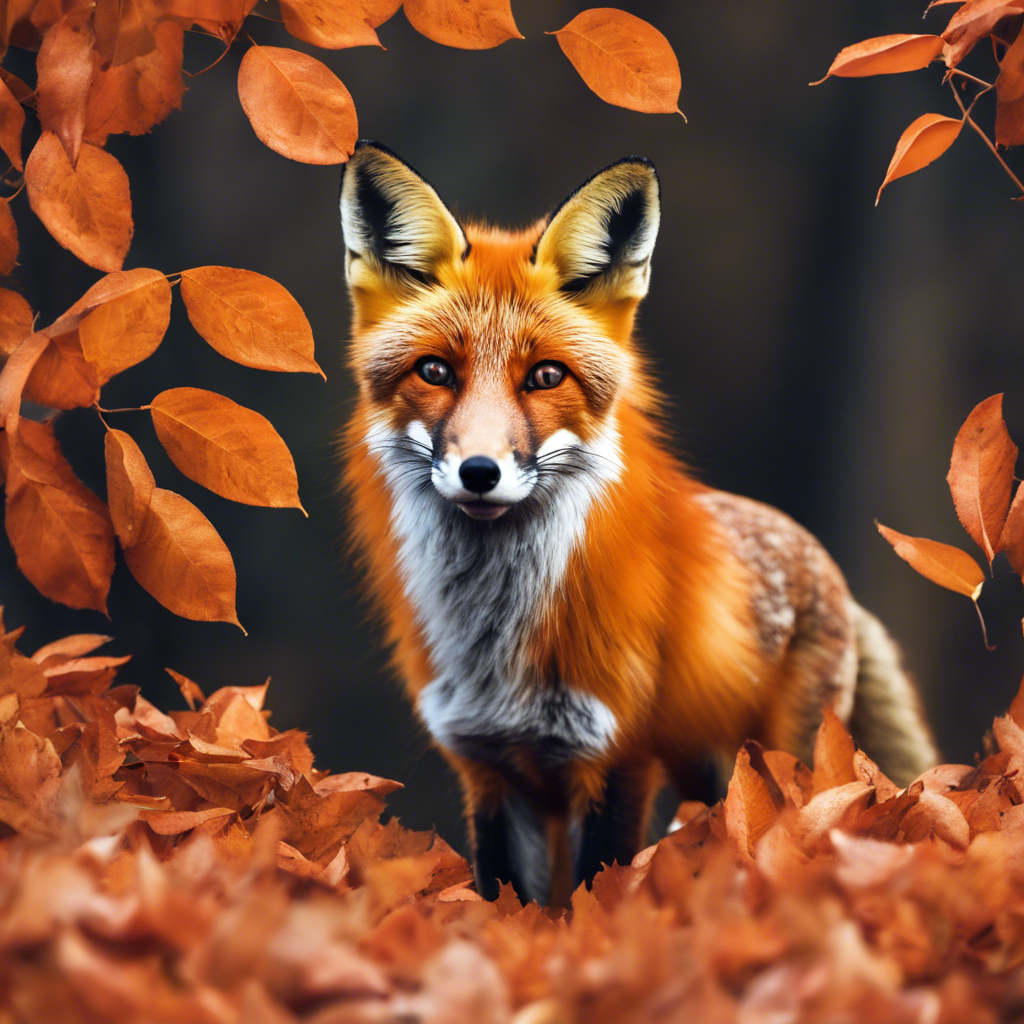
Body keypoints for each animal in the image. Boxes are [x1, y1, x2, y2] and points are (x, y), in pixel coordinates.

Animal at [339, 141, 938, 907]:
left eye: (546, 377)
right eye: (435, 371)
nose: (479, 471)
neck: (502, 651)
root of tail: (819, 554)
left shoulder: (616, 761)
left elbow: (595, 897)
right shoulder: (490, 769)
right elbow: (511, 906)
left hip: (778, 765)